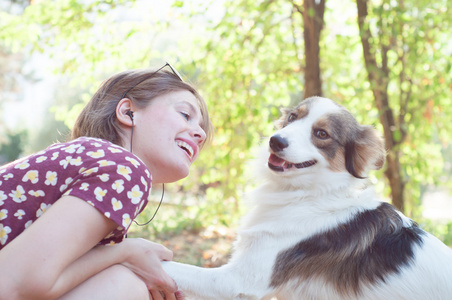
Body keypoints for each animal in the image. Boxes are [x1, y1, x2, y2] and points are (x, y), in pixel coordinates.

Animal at [162, 96, 452, 300]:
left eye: (321, 134)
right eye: (292, 117)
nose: (275, 141)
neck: (311, 194)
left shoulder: (238, 281)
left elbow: (171, 267)